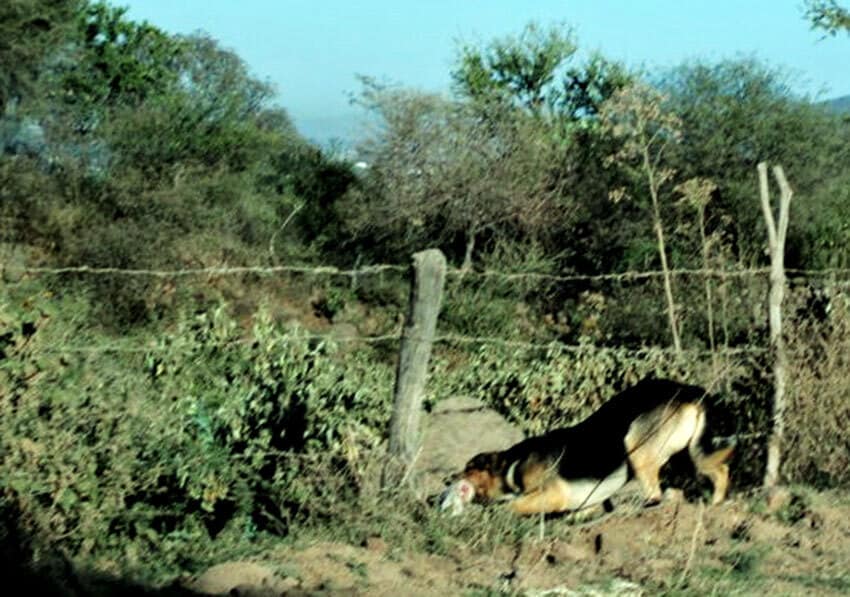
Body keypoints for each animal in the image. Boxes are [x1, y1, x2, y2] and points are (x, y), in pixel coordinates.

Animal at [454, 380, 732, 516]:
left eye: (469, 468)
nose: (450, 479)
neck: (512, 465)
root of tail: (689, 390)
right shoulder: (585, 503)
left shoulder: (553, 494)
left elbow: (512, 506)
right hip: (686, 452)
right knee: (719, 470)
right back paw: (716, 503)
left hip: (637, 446)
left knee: (656, 492)